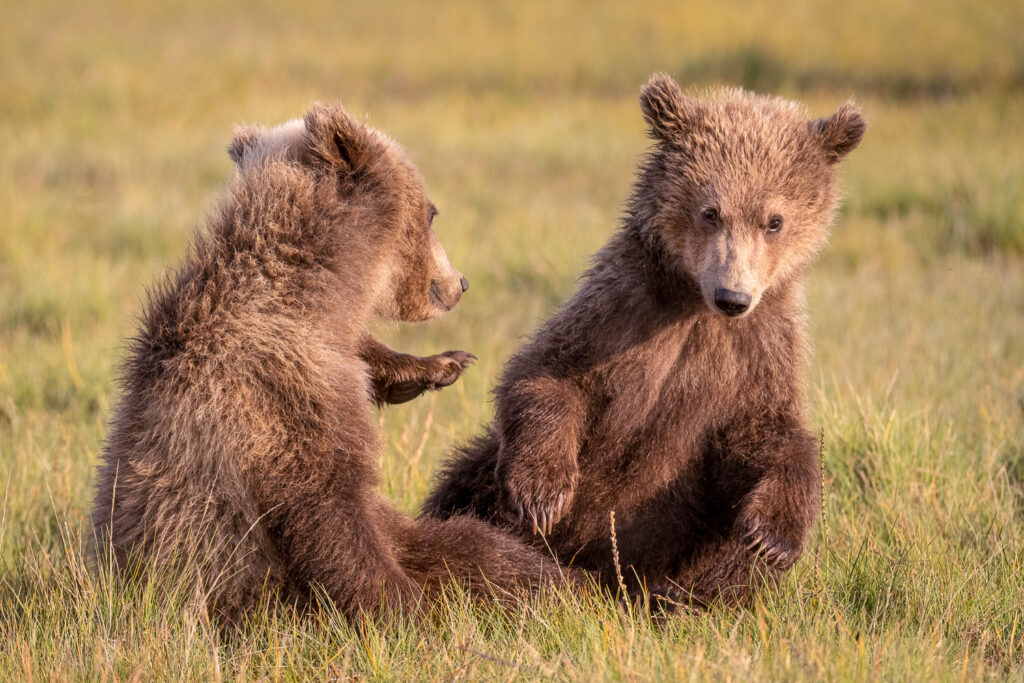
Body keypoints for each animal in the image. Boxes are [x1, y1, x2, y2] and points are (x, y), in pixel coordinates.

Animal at [90, 102, 564, 625]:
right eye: (432, 213)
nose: (459, 283)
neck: (311, 297)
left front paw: (436, 365)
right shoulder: (280, 391)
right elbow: (326, 506)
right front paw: (405, 609)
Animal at [423, 73, 866, 608]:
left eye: (773, 220)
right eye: (710, 212)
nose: (732, 296)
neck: (693, 304)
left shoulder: (759, 351)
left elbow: (768, 439)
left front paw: (772, 536)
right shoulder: (620, 312)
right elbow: (548, 375)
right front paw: (543, 493)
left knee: (723, 553)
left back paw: (682, 600)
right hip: (489, 480)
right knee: (464, 487)